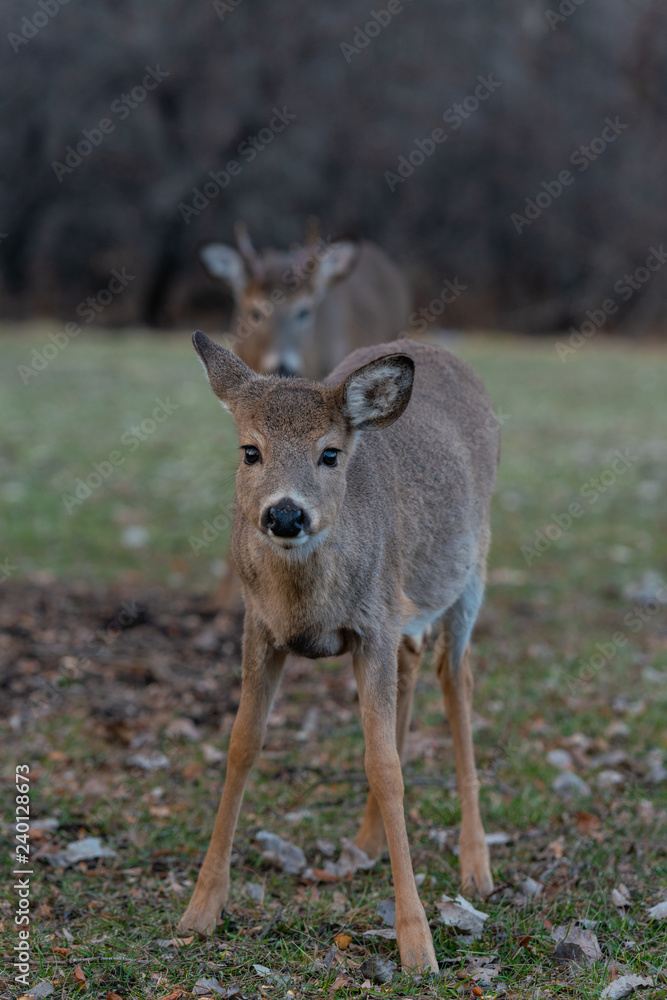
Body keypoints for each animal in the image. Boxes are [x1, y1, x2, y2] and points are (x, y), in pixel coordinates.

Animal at [178, 330, 499, 973]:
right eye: (249, 450)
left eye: (329, 454)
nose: (284, 513)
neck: (307, 608)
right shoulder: (260, 627)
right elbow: (242, 745)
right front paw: (200, 911)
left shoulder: (372, 623)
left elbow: (385, 766)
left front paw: (417, 943)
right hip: (406, 611)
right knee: (416, 661)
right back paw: (367, 842)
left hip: (471, 568)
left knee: (458, 679)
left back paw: (476, 865)